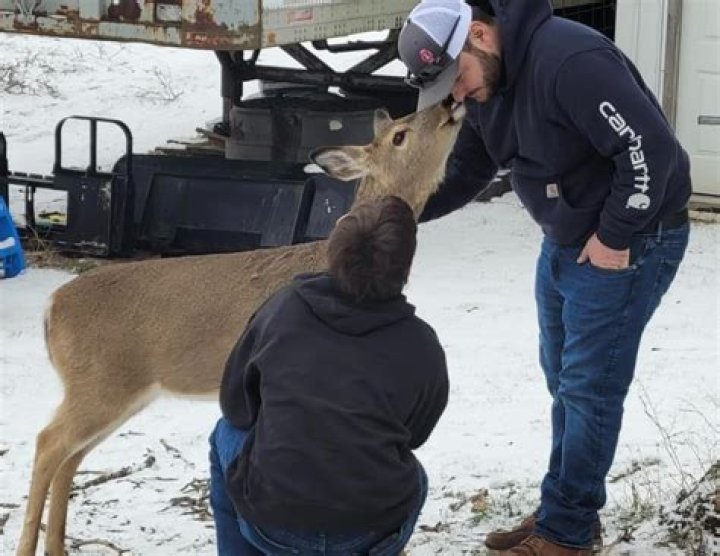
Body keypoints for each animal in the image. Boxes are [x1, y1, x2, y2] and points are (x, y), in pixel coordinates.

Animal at [16, 98, 466, 556]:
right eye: (400, 135)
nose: (450, 102)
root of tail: (51, 308)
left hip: (114, 391)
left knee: (70, 457)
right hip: (99, 385)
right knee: (48, 443)